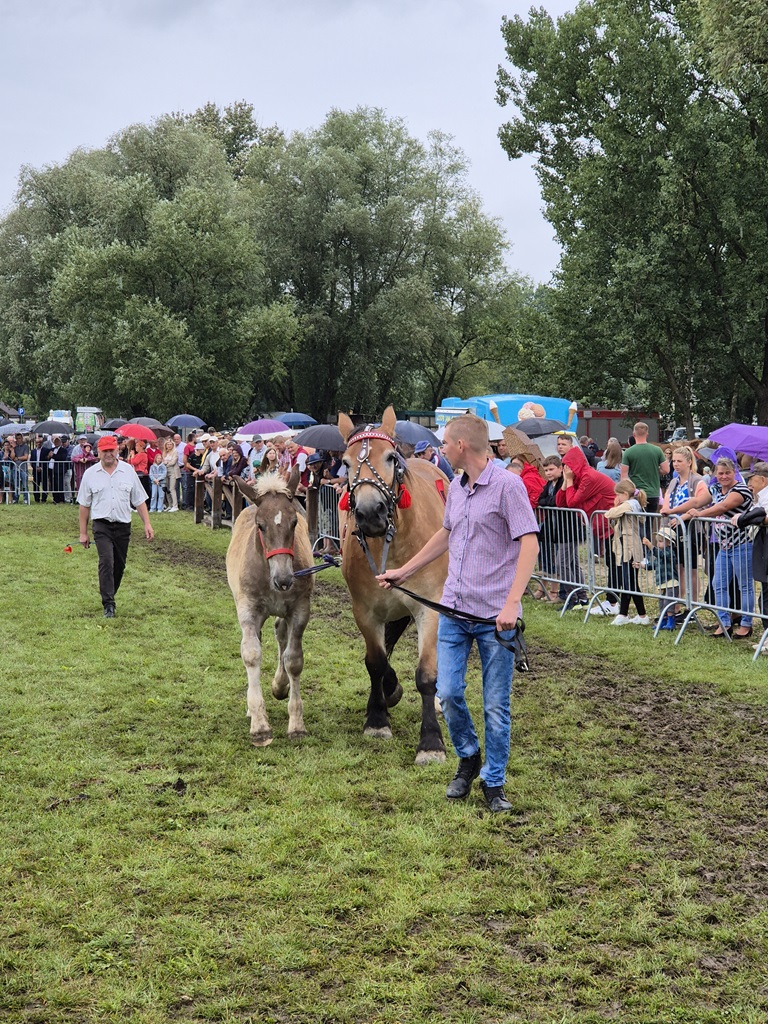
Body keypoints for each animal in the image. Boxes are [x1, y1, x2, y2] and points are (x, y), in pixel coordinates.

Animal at [227, 468, 313, 745]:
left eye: (294, 523)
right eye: (260, 526)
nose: (284, 579)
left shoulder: (300, 610)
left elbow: (293, 659)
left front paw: (296, 724)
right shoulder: (248, 610)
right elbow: (251, 654)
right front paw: (259, 725)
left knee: (281, 634)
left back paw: (279, 685)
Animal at [339, 403, 448, 765]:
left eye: (390, 458)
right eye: (345, 463)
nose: (370, 512)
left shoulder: (428, 608)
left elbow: (426, 674)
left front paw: (431, 741)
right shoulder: (366, 610)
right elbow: (377, 662)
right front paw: (378, 715)